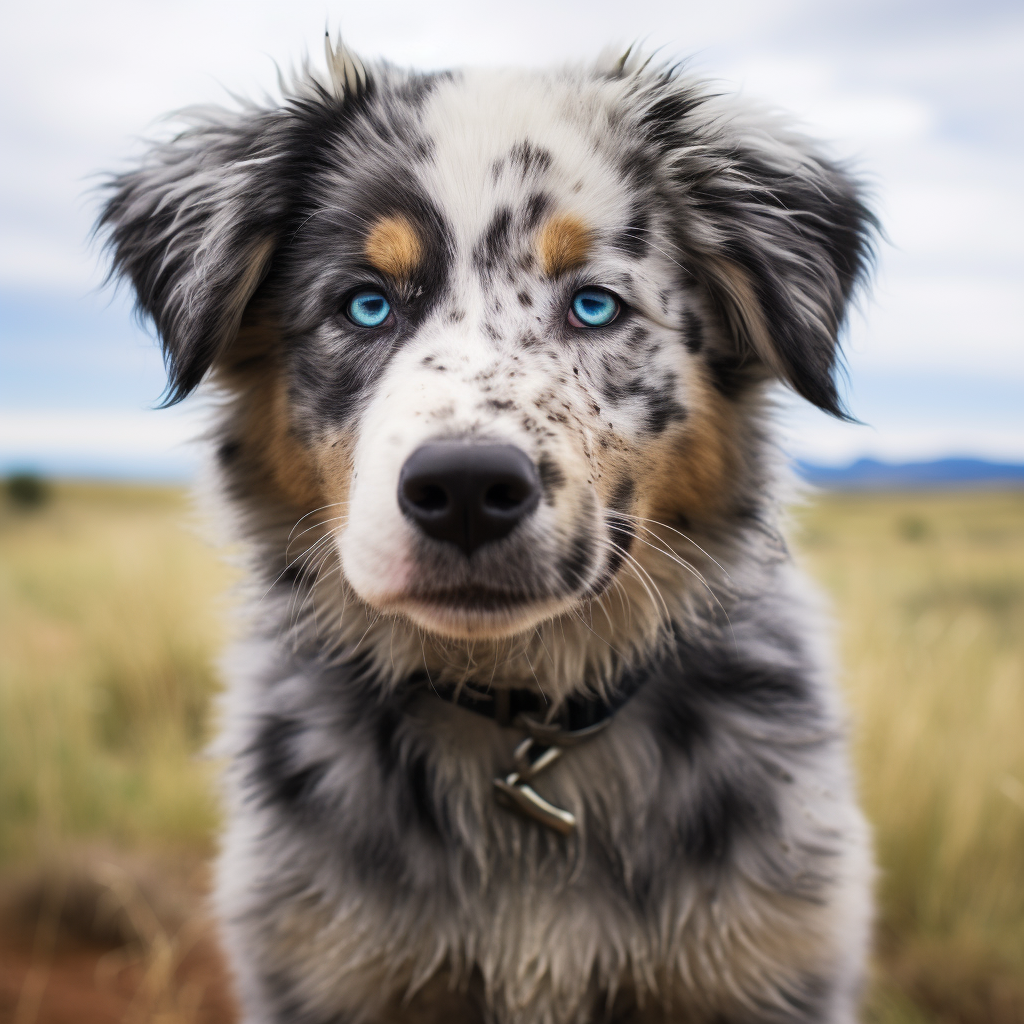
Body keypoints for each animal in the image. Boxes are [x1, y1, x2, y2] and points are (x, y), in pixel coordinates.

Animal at [99, 34, 876, 1024]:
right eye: (365, 304)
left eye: (595, 304)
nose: (466, 488)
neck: (521, 728)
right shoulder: (322, 962)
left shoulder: (767, 961)